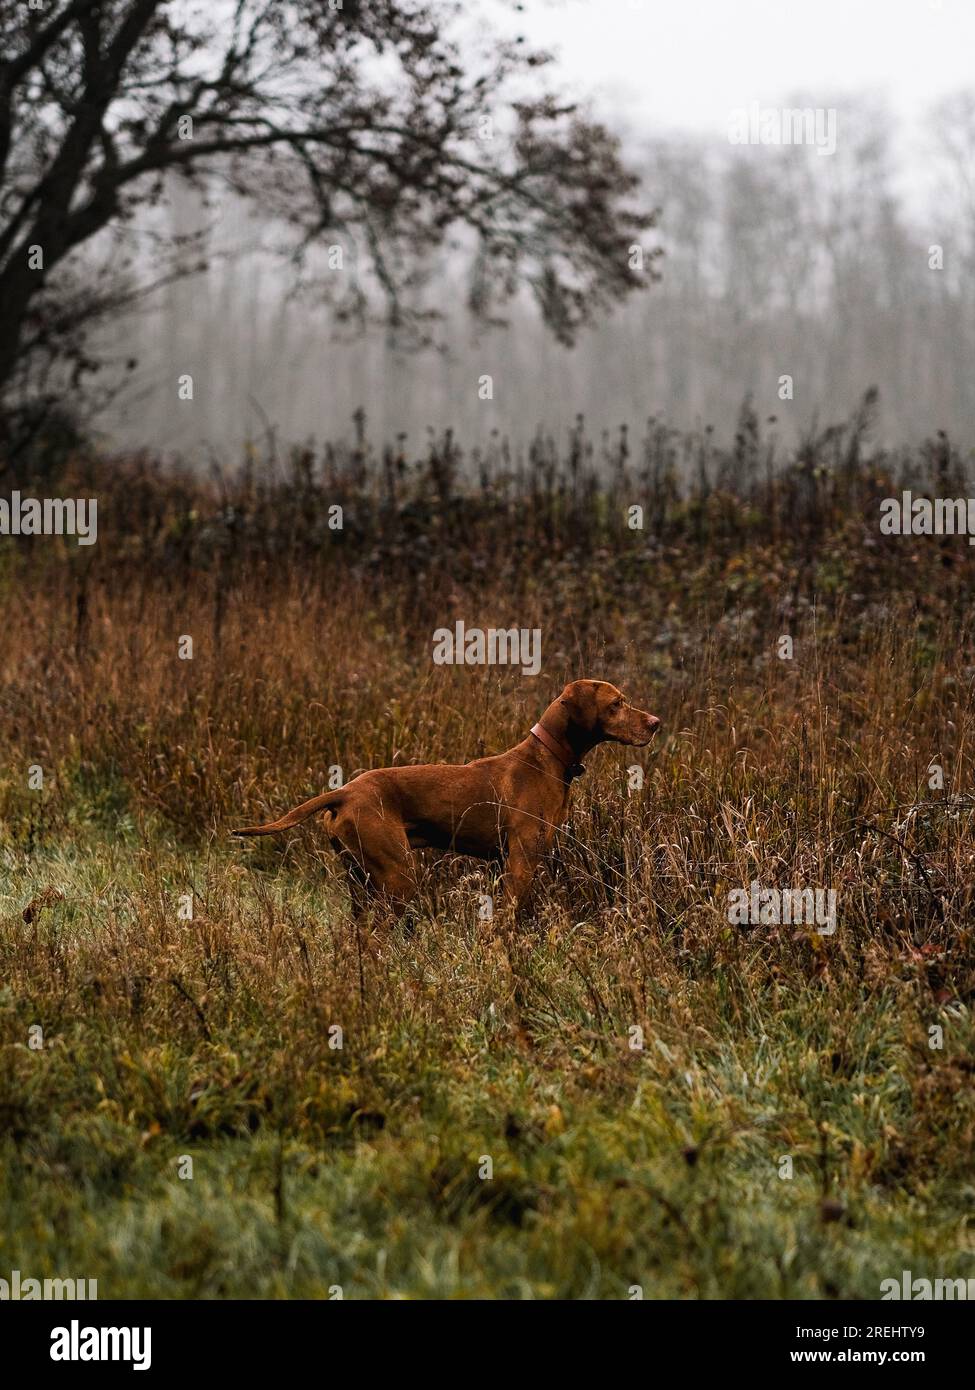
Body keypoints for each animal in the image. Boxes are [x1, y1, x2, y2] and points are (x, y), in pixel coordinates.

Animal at [233, 678, 662, 917]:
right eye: (617, 703)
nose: (657, 723)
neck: (548, 759)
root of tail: (343, 790)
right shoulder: (521, 862)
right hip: (397, 876)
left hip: (360, 880)